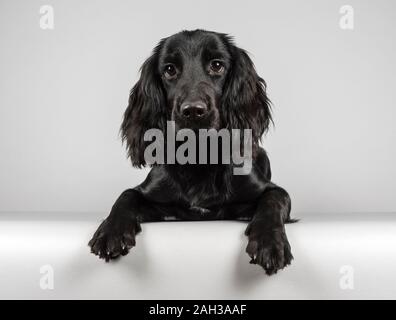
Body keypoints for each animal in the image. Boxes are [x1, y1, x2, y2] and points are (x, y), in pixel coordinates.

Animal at [89, 29, 294, 276]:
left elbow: (273, 200)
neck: (200, 157)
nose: (193, 111)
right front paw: (110, 231)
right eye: (169, 69)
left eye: (217, 65)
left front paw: (269, 242)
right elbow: (126, 196)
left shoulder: (270, 191)